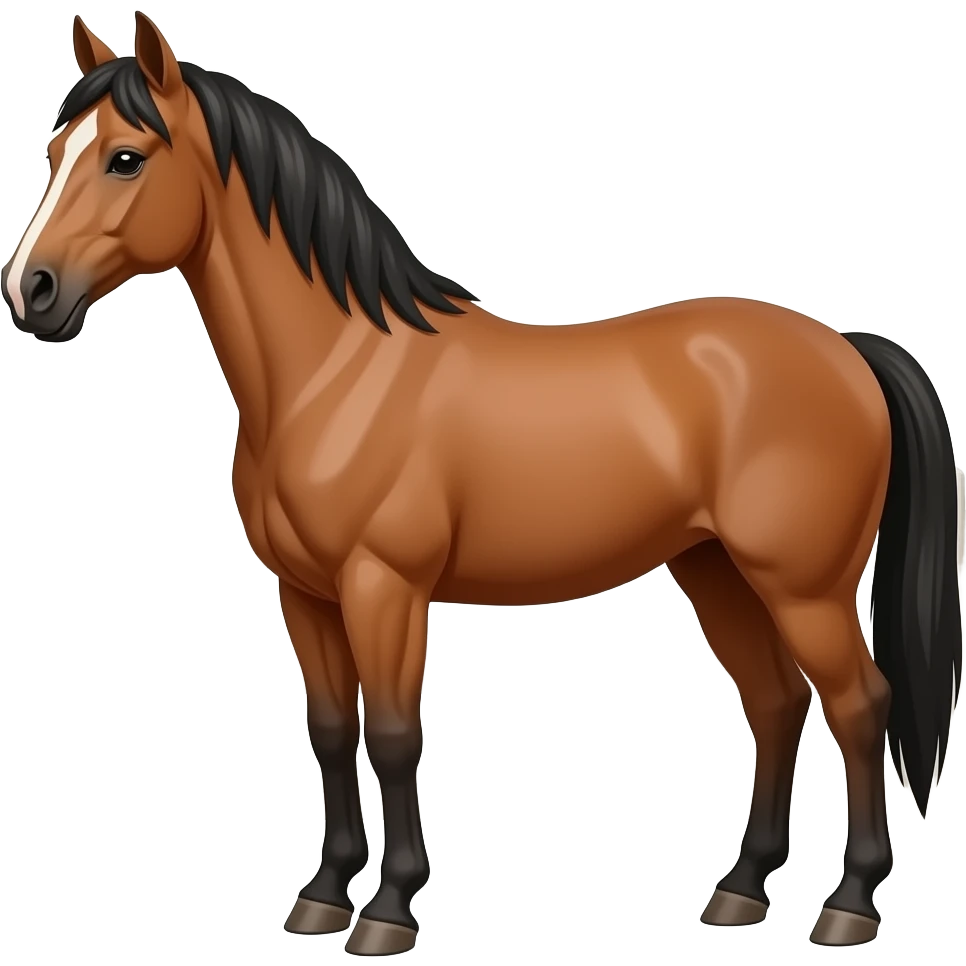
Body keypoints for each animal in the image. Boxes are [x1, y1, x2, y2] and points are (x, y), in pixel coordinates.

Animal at [2, 13, 963, 955]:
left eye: (126, 157)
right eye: (53, 152)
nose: (31, 291)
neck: (337, 371)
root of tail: (847, 350)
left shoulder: (383, 587)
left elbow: (394, 737)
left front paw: (388, 910)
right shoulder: (304, 595)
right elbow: (331, 733)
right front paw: (322, 897)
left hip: (804, 588)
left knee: (859, 705)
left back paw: (849, 905)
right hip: (716, 571)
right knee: (775, 704)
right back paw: (739, 891)